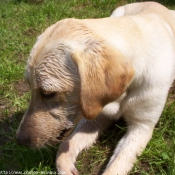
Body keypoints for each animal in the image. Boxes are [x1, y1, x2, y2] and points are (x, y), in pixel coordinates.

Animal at [15, 1, 174, 175]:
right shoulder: (96, 114)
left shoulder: (141, 127)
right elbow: (64, 147)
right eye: (29, 87)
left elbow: (115, 168)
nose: (19, 140)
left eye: (48, 93)